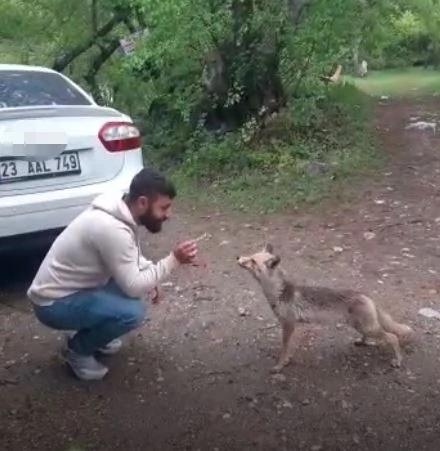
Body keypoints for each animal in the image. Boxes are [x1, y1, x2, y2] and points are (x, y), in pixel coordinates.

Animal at [237, 244, 412, 374]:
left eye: (252, 260)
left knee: (392, 337)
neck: (279, 293)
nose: (237, 257)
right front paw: (286, 362)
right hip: (361, 326)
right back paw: (362, 342)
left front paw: (279, 366)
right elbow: (289, 349)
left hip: (368, 327)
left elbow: (284, 350)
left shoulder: (289, 325)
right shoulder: (294, 326)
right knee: (371, 336)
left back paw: (398, 361)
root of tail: (365, 295)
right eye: (250, 256)